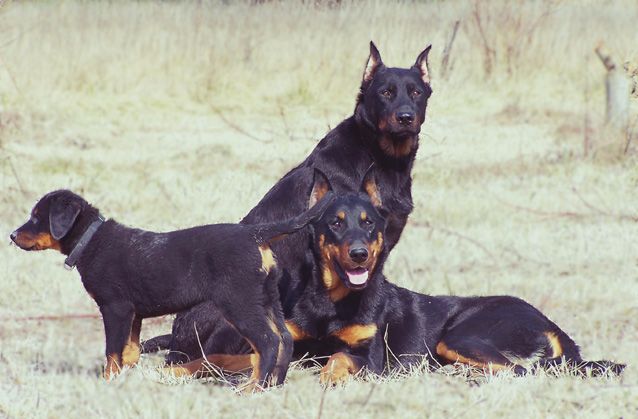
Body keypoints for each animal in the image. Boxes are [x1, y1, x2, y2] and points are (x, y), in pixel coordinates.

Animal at [10, 189, 336, 390]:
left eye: (37, 217)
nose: (12, 235)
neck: (91, 241)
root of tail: (255, 234)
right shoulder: (134, 314)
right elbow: (130, 351)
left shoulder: (115, 308)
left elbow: (112, 352)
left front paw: (108, 382)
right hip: (267, 299)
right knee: (284, 339)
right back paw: (272, 385)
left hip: (240, 303)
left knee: (268, 341)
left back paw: (253, 388)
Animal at [154, 171, 624, 384]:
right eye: (336, 223)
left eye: (370, 224)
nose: (360, 254)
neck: (331, 302)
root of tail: (553, 326)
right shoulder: (289, 342)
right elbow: (221, 357)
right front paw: (182, 369)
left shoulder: (372, 357)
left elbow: (340, 359)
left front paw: (328, 379)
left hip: (460, 335)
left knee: (520, 370)